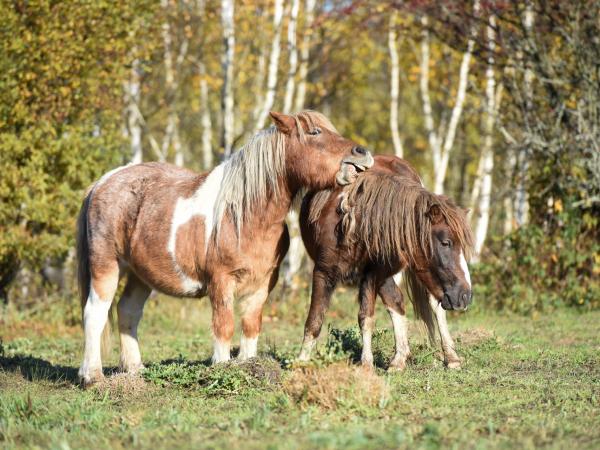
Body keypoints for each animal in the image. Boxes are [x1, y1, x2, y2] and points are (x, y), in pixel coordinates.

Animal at [77, 110, 372, 384]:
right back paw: (92, 376)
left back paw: (136, 370)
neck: (244, 215)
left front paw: (250, 367)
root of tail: (102, 182)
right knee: (95, 313)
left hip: (140, 275)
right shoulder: (221, 282)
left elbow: (251, 326)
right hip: (106, 265)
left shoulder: (262, 285)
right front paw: (221, 368)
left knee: (128, 311)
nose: (363, 153)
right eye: (314, 132)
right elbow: (224, 326)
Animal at [298, 155, 472, 370]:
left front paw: (366, 365)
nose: (465, 296)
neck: (352, 222)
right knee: (397, 301)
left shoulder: (372, 273)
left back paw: (450, 356)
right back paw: (400, 358)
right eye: (446, 242)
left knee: (432, 304)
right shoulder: (324, 272)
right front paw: (300, 363)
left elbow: (366, 317)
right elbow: (315, 320)